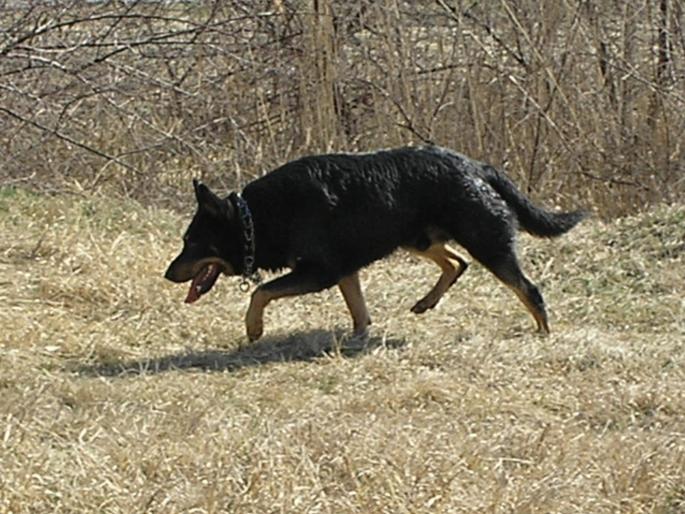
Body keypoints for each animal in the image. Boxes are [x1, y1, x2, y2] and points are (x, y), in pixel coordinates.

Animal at [164, 146, 584, 338]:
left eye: (191, 242)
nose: (167, 274)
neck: (256, 217)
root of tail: (476, 166)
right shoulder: (344, 270)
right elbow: (358, 309)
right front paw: (359, 335)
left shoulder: (320, 271)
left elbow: (261, 292)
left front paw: (253, 328)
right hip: (417, 238)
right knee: (455, 263)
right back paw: (425, 302)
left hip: (487, 243)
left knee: (528, 289)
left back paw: (543, 332)